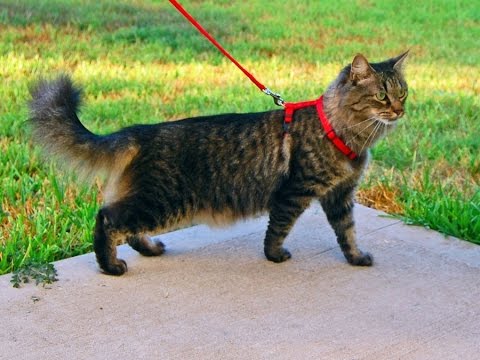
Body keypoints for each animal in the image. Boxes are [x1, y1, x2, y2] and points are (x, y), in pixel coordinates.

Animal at [28, 52, 406, 274]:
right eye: (381, 96)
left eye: (402, 92)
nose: (401, 110)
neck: (345, 134)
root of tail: (141, 131)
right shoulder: (294, 193)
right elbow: (278, 229)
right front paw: (274, 256)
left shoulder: (340, 195)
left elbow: (347, 231)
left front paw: (356, 258)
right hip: (163, 202)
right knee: (108, 218)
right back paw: (110, 266)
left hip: (155, 202)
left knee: (128, 228)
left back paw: (149, 249)